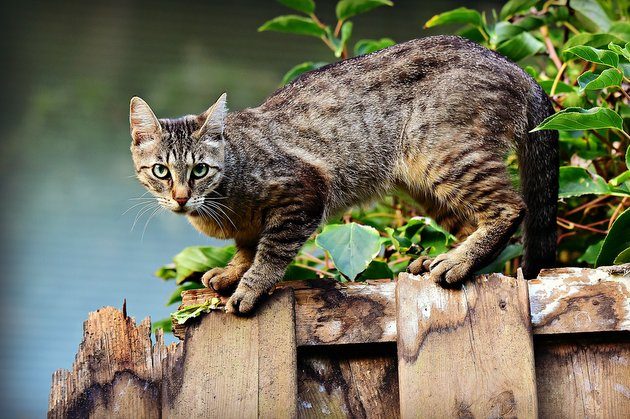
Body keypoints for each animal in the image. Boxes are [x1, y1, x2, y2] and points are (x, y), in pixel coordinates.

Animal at [131, 36, 560, 316]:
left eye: (200, 170)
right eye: (160, 171)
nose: (181, 197)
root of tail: (516, 68)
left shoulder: (303, 192)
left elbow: (270, 251)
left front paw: (250, 286)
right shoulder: (250, 226)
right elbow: (246, 247)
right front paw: (232, 272)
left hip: (444, 156)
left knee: (511, 208)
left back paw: (457, 261)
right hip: (425, 184)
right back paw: (445, 258)